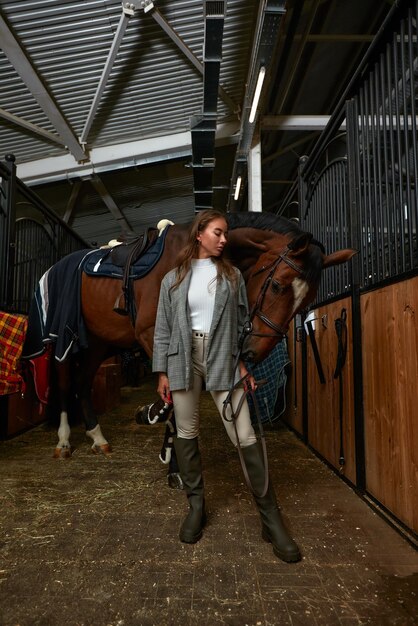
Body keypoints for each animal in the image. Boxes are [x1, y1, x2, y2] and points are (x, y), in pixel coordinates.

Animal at [32, 210, 354, 454]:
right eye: (277, 285)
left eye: (306, 303)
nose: (253, 353)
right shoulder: (151, 331)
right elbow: (170, 394)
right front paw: (152, 415)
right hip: (65, 341)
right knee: (65, 383)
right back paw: (63, 441)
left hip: (98, 343)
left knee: (83, 383)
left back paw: (98, 437)